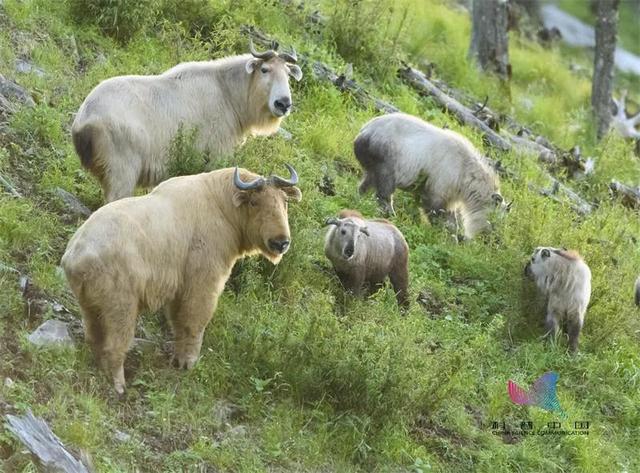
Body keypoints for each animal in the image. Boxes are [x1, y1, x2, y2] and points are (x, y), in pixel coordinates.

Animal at [61, 164, 302, 392]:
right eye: (254, 202)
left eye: (284, 202)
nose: (280, 242)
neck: (221, 206)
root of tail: (76, 256)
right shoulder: (203, 281)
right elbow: (194, 319)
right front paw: (189, 362)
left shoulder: (178, 287)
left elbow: (178, 321)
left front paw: (177, 358)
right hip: (120, 303)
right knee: (115, 343)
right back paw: (118, 383)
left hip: (90, 304)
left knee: (93, 335)